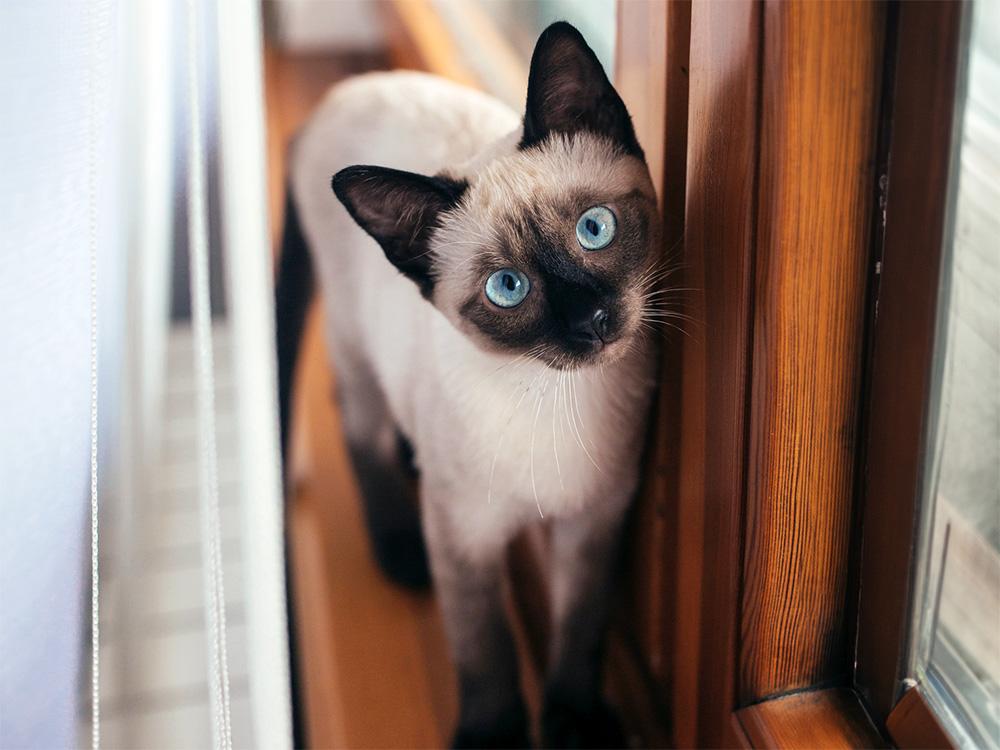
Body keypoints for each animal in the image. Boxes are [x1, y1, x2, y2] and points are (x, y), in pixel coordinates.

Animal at [276, 22, 664, 750]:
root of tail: (339, 97)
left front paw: (575, 722)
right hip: (353, 338)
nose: (591, 322)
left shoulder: (593, 520)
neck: (553, 400)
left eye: (594, 229)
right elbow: (485, 650)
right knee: (356, 423)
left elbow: (580, 629)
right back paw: (398, 549)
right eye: (507, 288)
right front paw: (495, 735)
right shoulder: (464, 537)